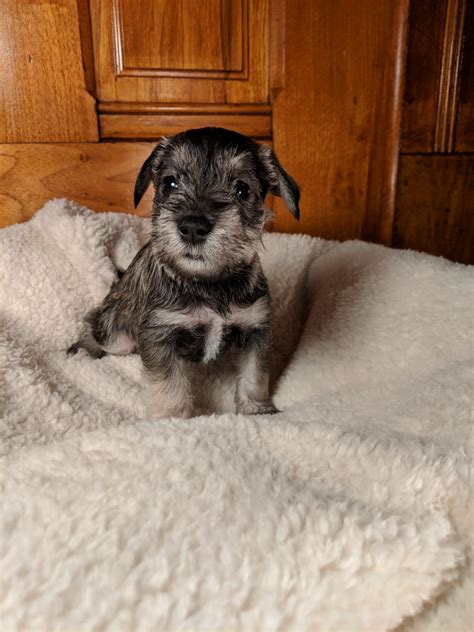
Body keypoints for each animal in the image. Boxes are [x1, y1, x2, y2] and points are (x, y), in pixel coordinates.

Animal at [69, 125, 300, 418]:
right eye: (170, 183)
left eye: (242, 189)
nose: (192, 227)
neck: (209, 282)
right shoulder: (161, 334)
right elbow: (169, 386)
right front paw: (171, 419)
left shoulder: (256, 330)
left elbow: (254, 375)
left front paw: (257, 410)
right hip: (117, 332)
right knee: (95, 324)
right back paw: (82, 350)